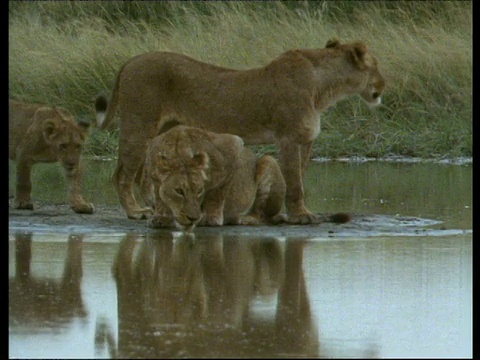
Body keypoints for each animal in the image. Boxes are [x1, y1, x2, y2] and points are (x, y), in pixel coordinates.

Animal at [97, 38, 386, 221]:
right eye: (375, 66)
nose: (384, 84)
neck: (324, 89)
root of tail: (130, 61)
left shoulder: (306, 140)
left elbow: (300, 178)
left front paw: (296, 212)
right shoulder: (289, 138)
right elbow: (294, 182)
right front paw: (301, 216)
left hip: (159, 131)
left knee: (143, 174)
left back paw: (153, 204)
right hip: (138, 126)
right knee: (121, 175)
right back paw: (135, 212)